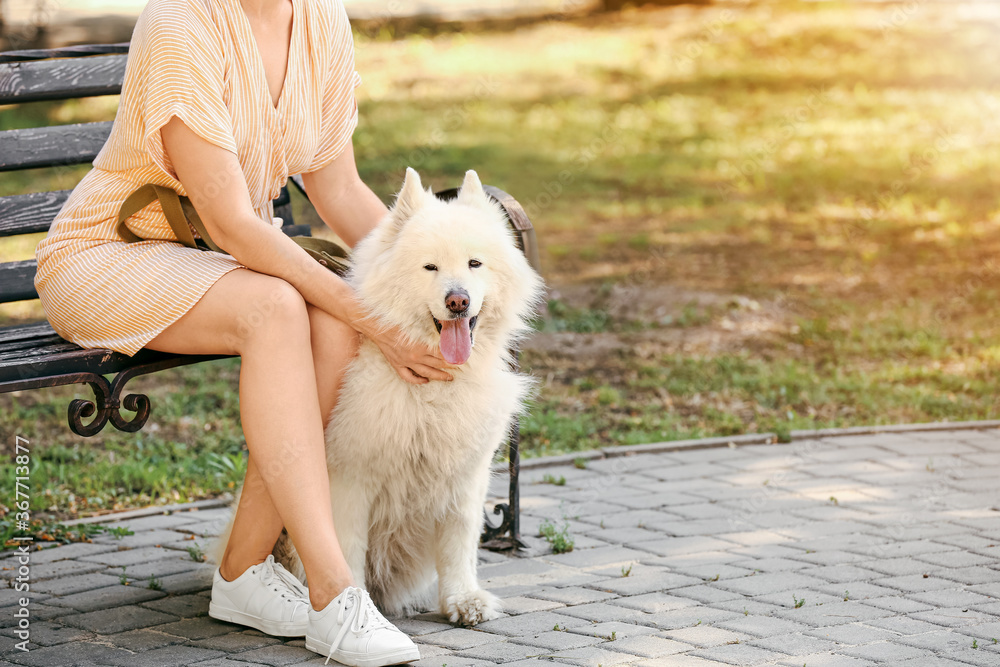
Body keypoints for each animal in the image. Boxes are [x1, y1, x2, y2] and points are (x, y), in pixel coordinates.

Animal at [215, 167, 548, 628]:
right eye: (430, 267)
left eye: (474, 263)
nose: (458, 301)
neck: (432, 389)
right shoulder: (350, 479)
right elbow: (344, 548)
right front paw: (351, 606)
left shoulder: (466, 475)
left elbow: (460, 543)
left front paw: (463, 600)